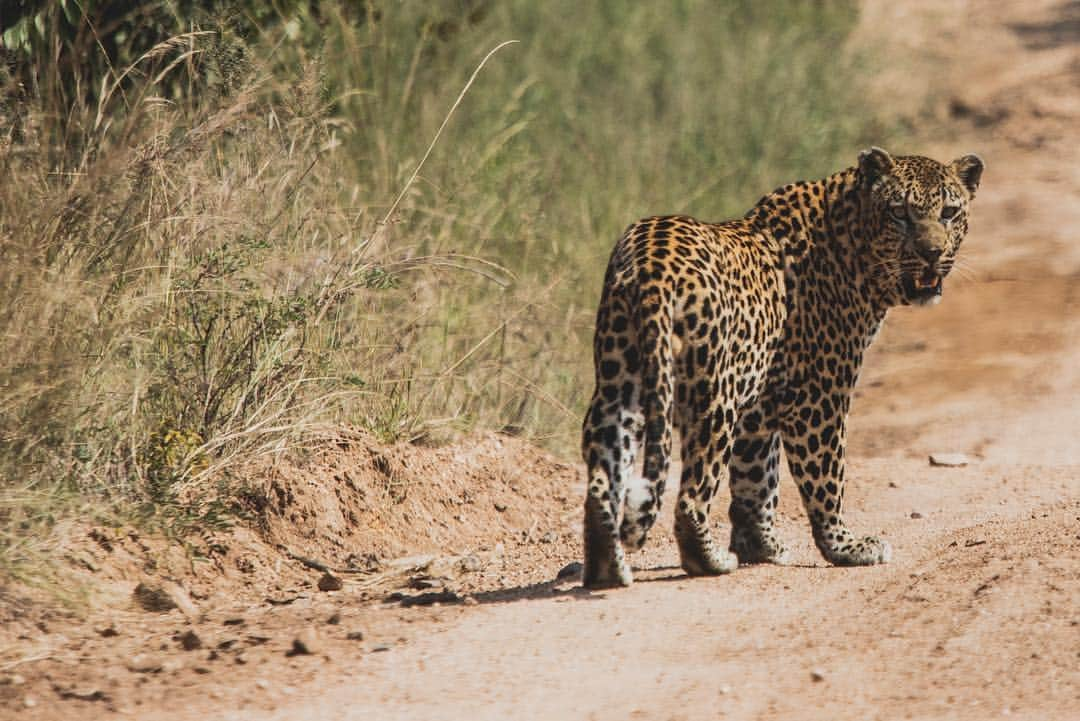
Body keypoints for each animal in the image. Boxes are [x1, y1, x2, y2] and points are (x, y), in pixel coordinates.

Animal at [583, 144, 989, 587]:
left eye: (949, 212)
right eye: (899, 212)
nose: (932, 254)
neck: (852, 242)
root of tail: (650, 263)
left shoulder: (760, 405)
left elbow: (756, 478)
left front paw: (762, 546)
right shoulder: (820, 396)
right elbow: (826, 476)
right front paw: (845, 547)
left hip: (618, 389)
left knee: (602, 481)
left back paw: (606, 567)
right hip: (712, 399)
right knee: (691, 496)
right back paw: (710, 561)